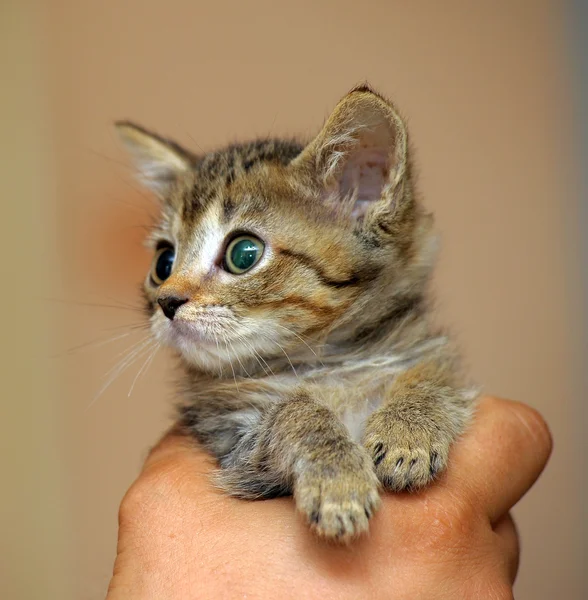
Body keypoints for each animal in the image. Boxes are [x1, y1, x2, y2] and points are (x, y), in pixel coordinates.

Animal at [116, 84, 478, 540]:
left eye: (244, 254)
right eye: (163, 262)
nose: (166, 302)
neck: (330, 364)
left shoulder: (421, 349)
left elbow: (434, 369)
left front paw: (409, 429)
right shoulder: (233, 443)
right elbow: (295, 412)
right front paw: (337, 481)